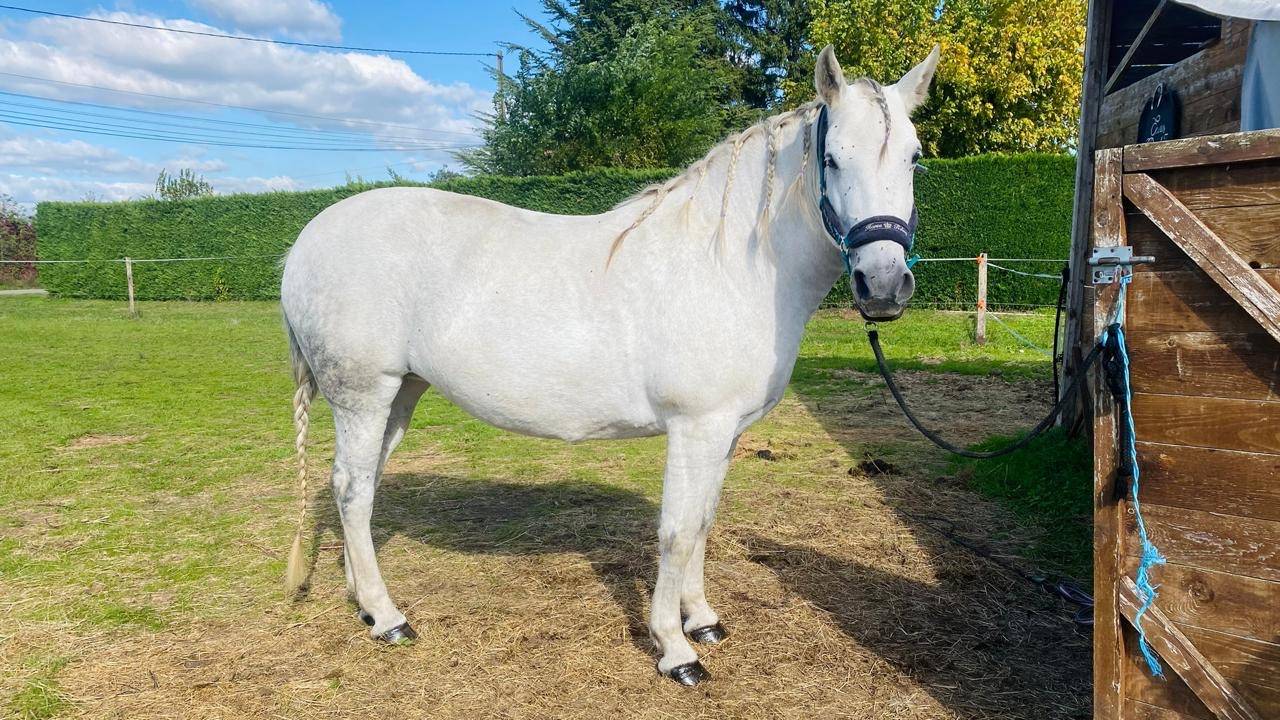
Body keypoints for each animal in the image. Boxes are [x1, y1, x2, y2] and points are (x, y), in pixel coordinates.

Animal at [280, 44, 939, 686]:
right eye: (831, 159)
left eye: (914, 158)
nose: (883, 284)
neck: (726, 265)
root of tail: (306, 241)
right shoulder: (696, 427)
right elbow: (676, 532)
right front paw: (675, 650)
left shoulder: (725, 433)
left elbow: (703, 521)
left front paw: (702, 620)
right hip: (364, 395)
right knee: (352, 491)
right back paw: (388, 618)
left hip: (401, 395)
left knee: (357, 489)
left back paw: (364, 604)